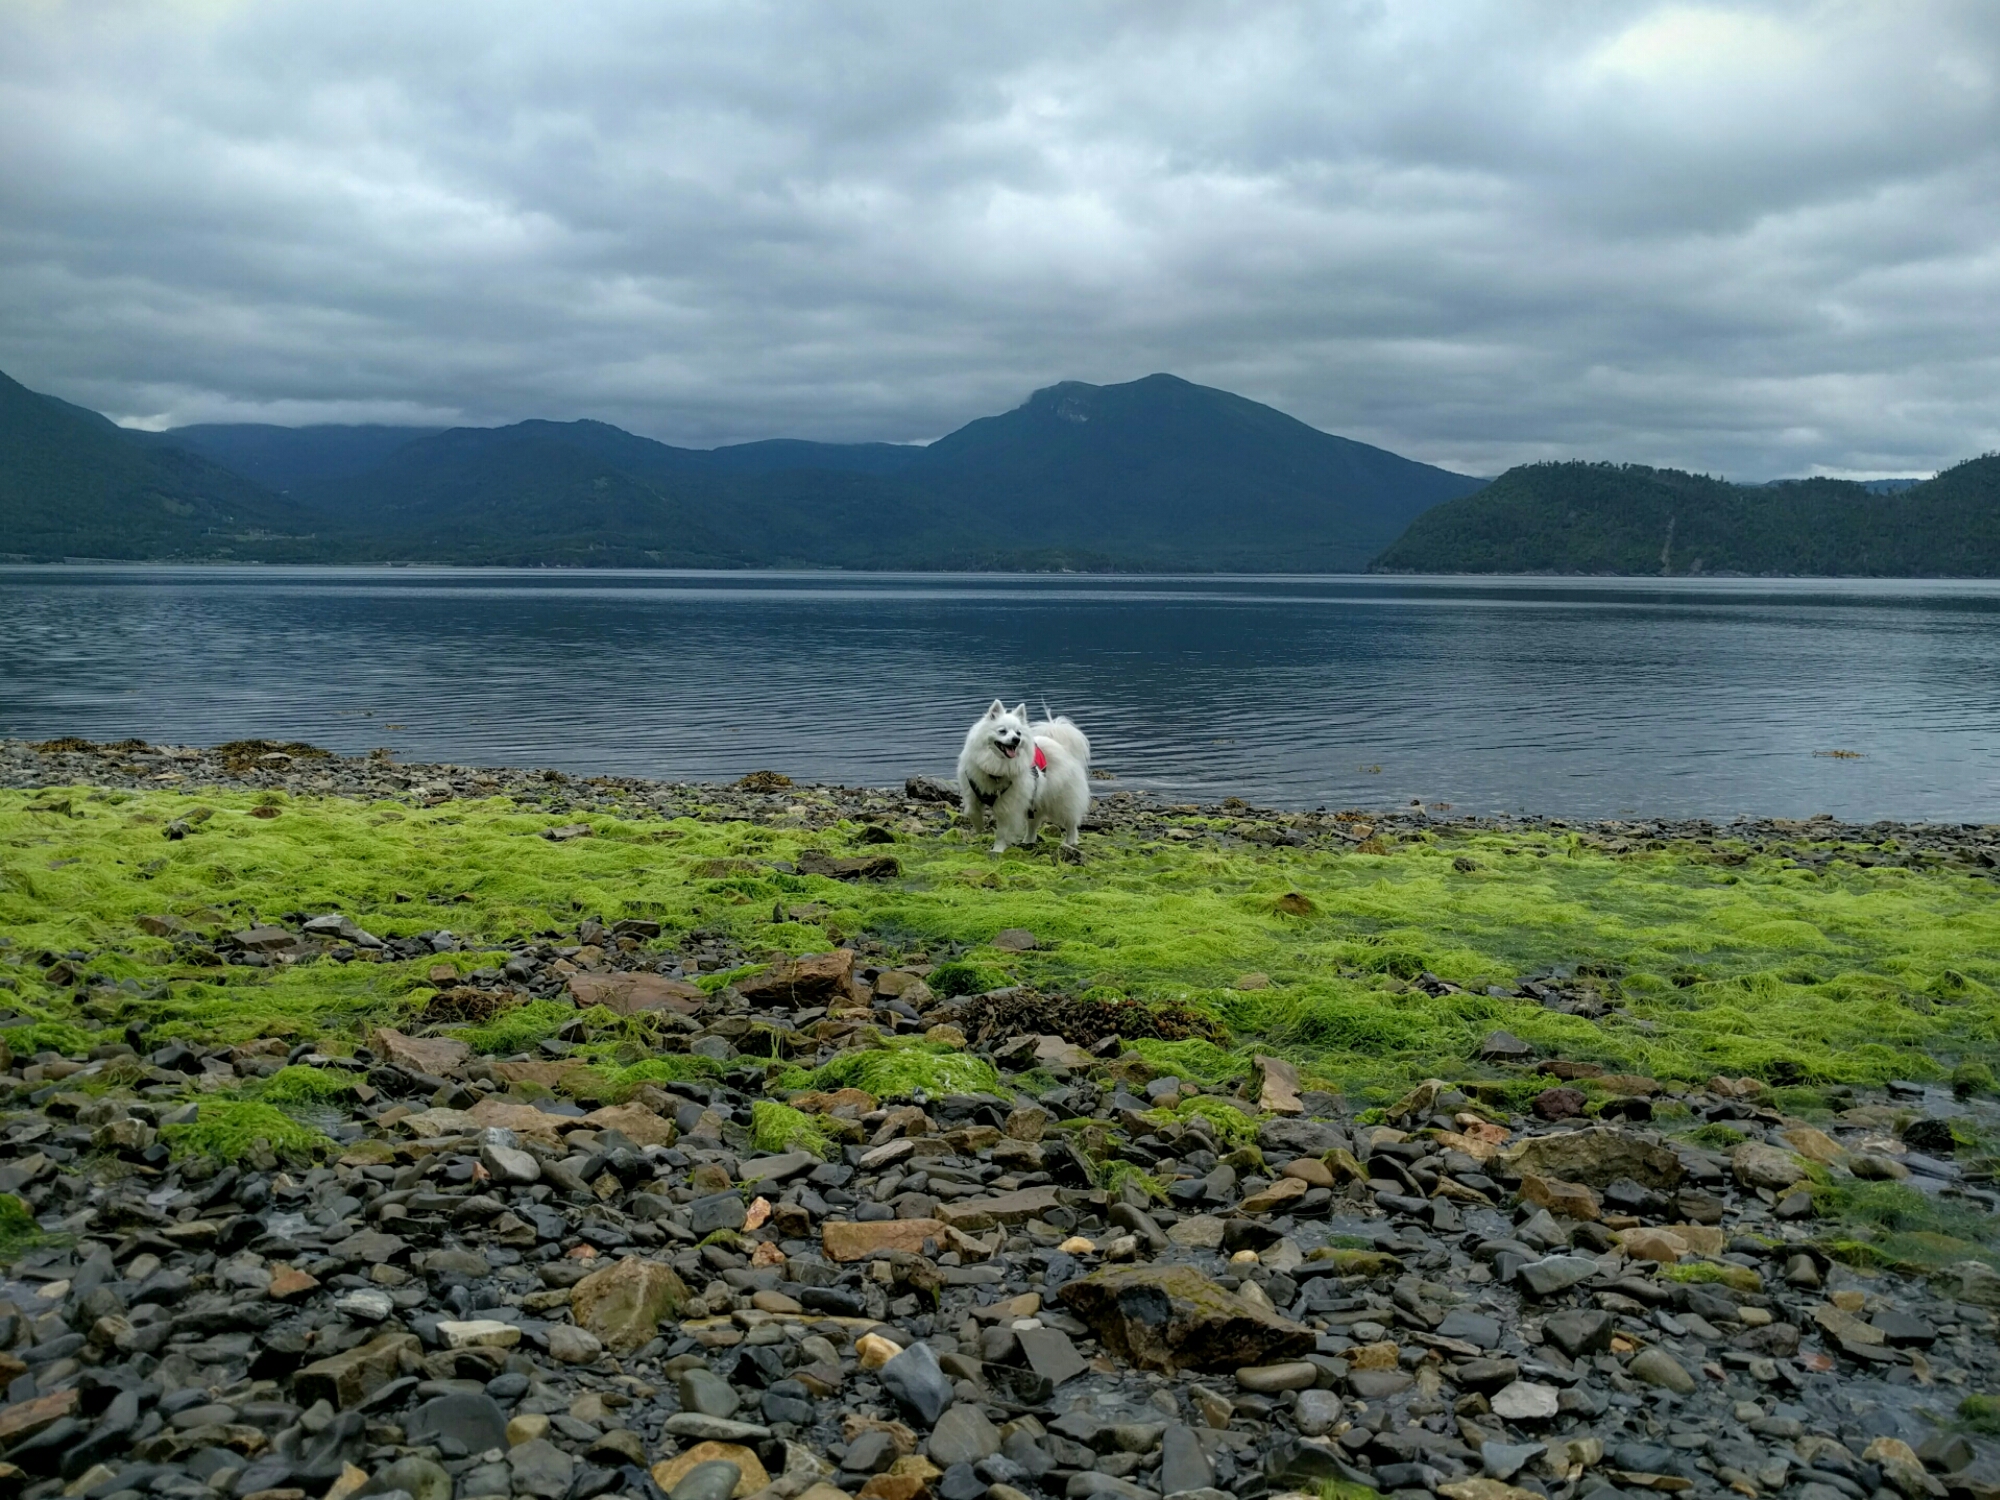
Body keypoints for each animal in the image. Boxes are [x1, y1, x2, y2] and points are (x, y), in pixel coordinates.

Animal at [956, 700, 1096, 852]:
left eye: (1018, 733)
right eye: (1002, 731)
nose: (1016, 739)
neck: (996, 768)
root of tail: (1062, 747)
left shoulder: (1007, 805)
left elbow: (1002, 831)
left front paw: (997, 849)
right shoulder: (972, 792)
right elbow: (971, 812)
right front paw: (979, 828)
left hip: (1062, 800)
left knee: (1071, 823)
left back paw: (1069, 842)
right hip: (1034, 800)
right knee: (1033, 824)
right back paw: (1028, 841)